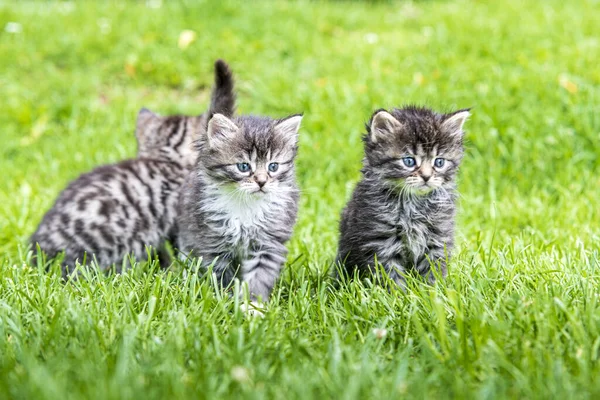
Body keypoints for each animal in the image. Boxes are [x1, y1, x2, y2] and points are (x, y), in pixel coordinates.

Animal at [176, 111, 302, 302]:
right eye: (243, 166)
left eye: (273, 166)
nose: (262, 182)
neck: (246, 204)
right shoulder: (214, 241)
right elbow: (222, 275)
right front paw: (225, 298)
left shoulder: (268, 241)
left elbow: (260, 274)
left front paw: (252, 304)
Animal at [338, 105, 468, 288]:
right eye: (409, 161)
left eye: (439, 162)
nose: (427, 177)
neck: (413, 203)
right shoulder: (382, 241)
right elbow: (391, 277)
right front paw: (398, 295)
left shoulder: (438, 238)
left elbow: (433, 272)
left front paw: (434, 292)